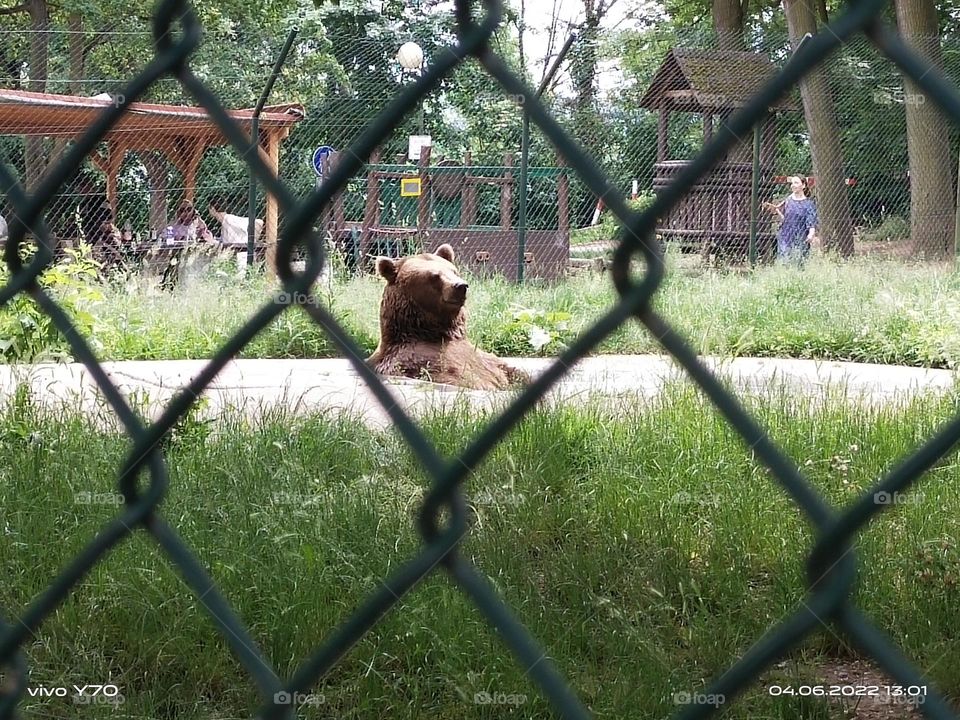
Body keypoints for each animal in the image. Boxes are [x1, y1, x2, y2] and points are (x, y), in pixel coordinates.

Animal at [366, 243, 529, 390]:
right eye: (434, 276)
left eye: (454, 271)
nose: (461, 286)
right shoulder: (421, 361)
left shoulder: (484, 358)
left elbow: (508, 370)